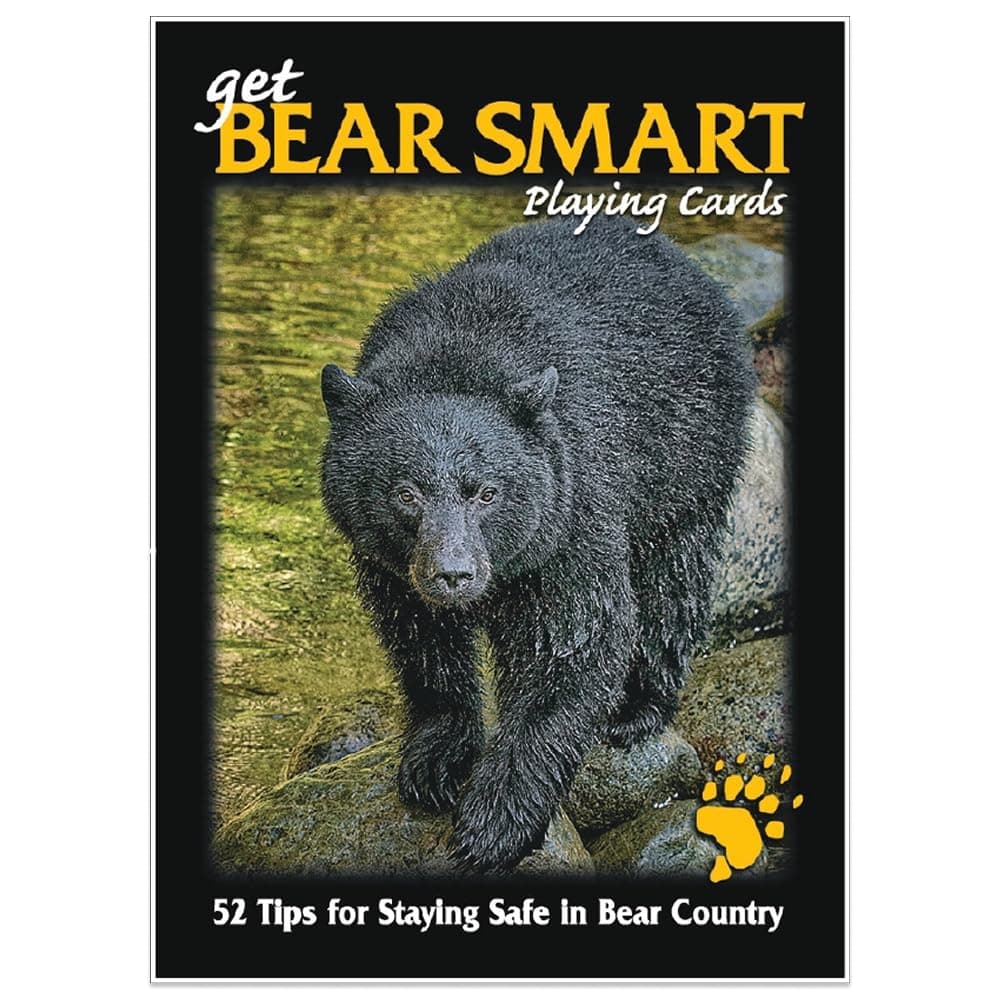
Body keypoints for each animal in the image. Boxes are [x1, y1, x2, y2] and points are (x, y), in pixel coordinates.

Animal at [320, 216, 756, 873]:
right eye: (406, 492)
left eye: (486, 491)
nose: (452, 574)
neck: (456, 353)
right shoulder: (391, 565)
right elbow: (421, 638)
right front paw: (436, 758)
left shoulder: (572, 506)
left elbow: (574, 644)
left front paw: (494, 824)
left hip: (688, 451)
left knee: (673, 575)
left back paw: (639, 708)